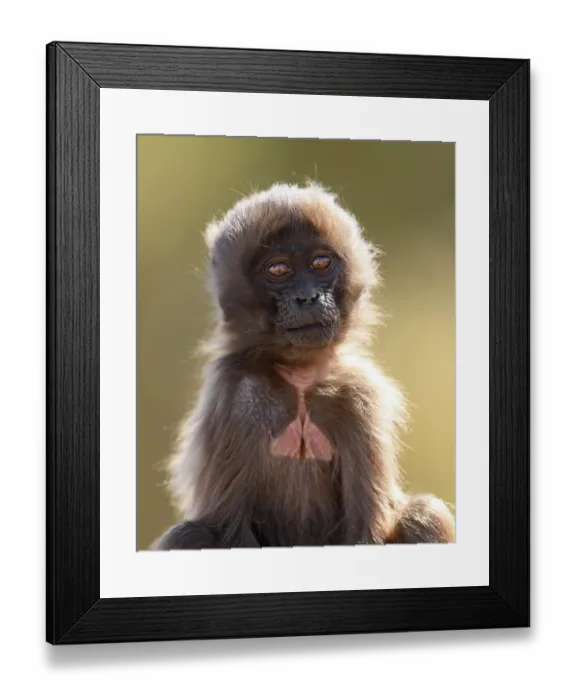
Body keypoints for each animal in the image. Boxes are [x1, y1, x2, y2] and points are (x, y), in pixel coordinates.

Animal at [150, 182, 455, 550]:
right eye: (279, 270)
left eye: (320, 263)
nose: (307, 298)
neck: (299, 378)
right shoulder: (235, 395)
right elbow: (229, 528)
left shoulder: (359, 395)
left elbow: (369, 531)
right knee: (188, 535)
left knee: (425, 514)